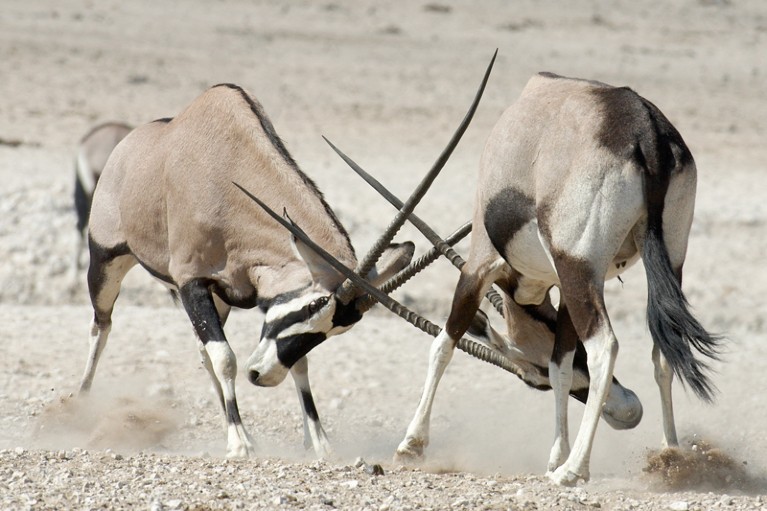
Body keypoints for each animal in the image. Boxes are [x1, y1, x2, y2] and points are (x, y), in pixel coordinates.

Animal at [392, 71, 724, 484]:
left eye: (529, 380)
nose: (629, 413)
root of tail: (646, 132)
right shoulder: (565, 290)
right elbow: (560, 365)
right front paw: (554, 454)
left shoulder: (479, 265)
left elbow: (444, 344)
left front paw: (411, 444)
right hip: (665, 261)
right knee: (664, 350)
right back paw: (670, 454)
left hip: (578, 266)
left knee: (605, 347)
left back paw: (574, 470)